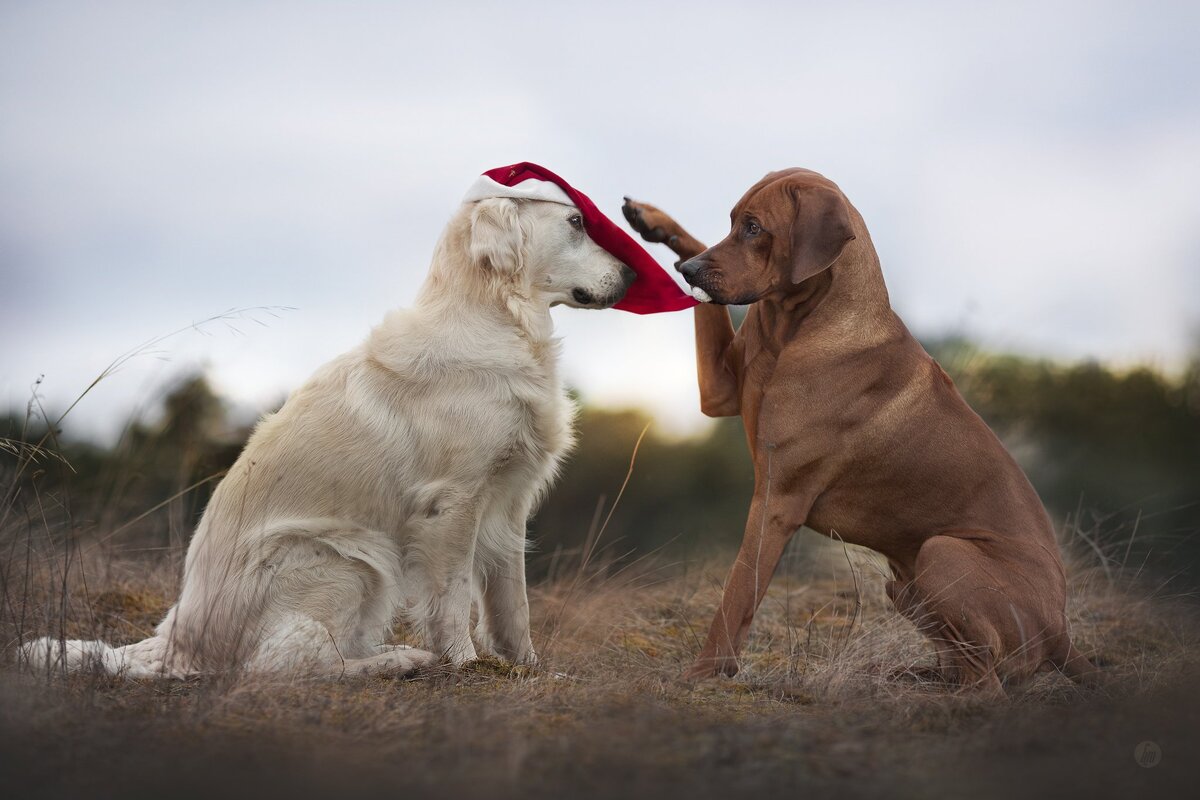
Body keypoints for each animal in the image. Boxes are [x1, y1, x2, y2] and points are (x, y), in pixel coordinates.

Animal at [21, 190, 638, 681]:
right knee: (285, 666)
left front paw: (528, 669)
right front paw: (465, 664)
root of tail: (176, 646)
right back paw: (400, 660)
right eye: (576, 222)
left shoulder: (508, 502)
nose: (635, 274)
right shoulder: (453, 503)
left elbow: (513, 605)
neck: (502, 321)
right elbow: (453, 597)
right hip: (346, 558)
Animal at [628, 170, 1099, 695]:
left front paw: (705, 673)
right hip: (904, 583)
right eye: (732, 222)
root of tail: (1062, 633)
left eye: (754, 228)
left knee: (989, 680)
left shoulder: (778, 500)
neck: (797, 325)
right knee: (964, 666)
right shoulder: (719, 391)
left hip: (941, 553)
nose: (688, 271)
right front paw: (656, 222)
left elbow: (739, 591)